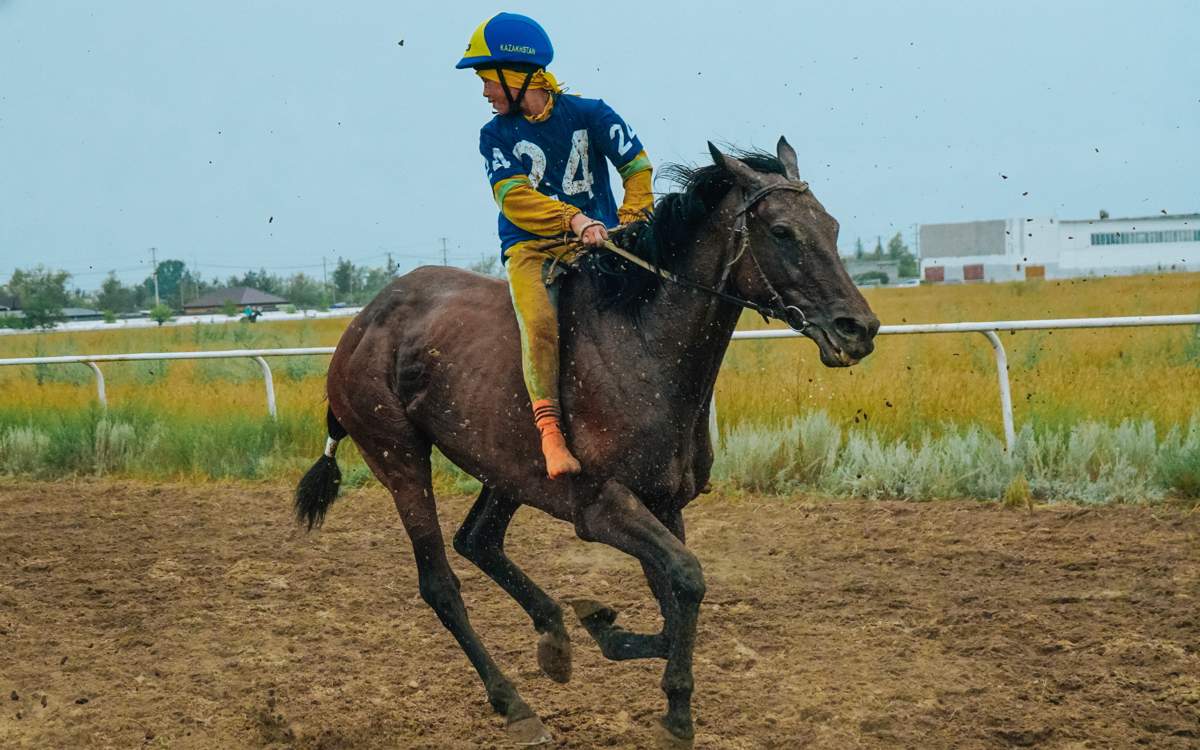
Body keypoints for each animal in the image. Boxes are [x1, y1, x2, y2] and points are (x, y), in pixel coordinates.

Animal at [295, 139, 878, 744]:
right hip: (398, 455)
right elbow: (688, 579)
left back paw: (553, 636)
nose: (859, 328)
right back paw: (514, 703)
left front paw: (606, 629)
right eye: (783, 231)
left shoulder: (664, 503)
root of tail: (360, 325)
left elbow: (674, 602)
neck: (644, 347)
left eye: (832, 227)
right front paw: (675, 713)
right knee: (440, 583)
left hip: (507, 471)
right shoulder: (602, 506)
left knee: (478, 540)